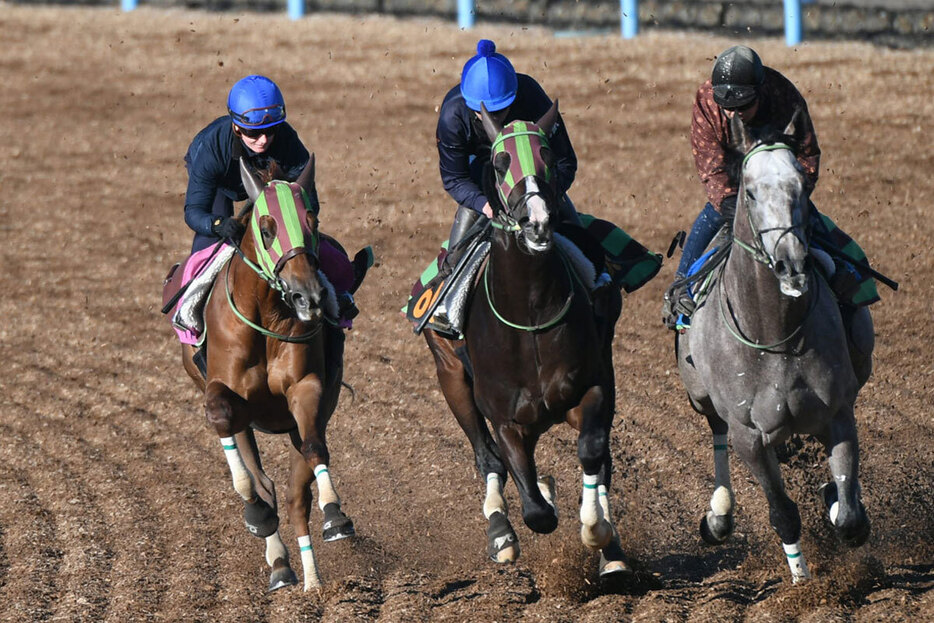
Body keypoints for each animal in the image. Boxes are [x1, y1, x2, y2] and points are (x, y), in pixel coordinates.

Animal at [182, 155, 354, 588]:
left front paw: (335, 514)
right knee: (266, 485)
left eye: (312, 220)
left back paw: (313, 581)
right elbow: (249, 479)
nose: (309, 298)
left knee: (296, 497)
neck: (266, 316)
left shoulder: (306, 390)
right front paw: (257, 516)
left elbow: (314, 450)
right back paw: (279, 563)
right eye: (266, 228)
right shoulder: (222, 395)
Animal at [426, 101, 632, 576]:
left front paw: (598, 533)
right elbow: (536, 509)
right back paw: (501, 532)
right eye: (501, 162)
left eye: (549, 156)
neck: (531, 310)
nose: (537, 223)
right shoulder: (505, 419)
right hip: (451, 377)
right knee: (487, 458)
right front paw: (534, 508)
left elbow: (592, 453)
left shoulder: (593, 387)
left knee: (601, 460)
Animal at [680, 112, 876, 584]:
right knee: (715, 430)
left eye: (801, 186)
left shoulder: (837, 410)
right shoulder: (748, 435)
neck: (775, 337)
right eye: (750, 191)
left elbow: (849, 516)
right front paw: (802, 583)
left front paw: (839, 502)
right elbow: (783, 513)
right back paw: (719, 516)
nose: (792, 265)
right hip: (701, 397)